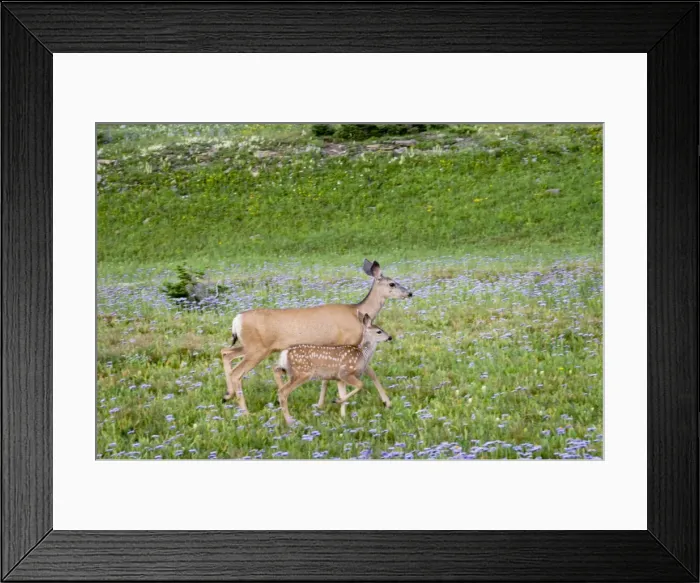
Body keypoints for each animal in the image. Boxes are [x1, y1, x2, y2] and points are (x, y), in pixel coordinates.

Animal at [220, 259, 412, 414]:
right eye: (392, 284)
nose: (409, 293)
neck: (357, 312)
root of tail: (237, 319)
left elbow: (327, 379)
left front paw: (321, 404)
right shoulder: (349, 342)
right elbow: (370, 371)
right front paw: (387, 402)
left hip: (251, 346)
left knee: (225, 352)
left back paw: (227, 395)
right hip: (257, 349)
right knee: (237, 372)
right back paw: (245, 412)